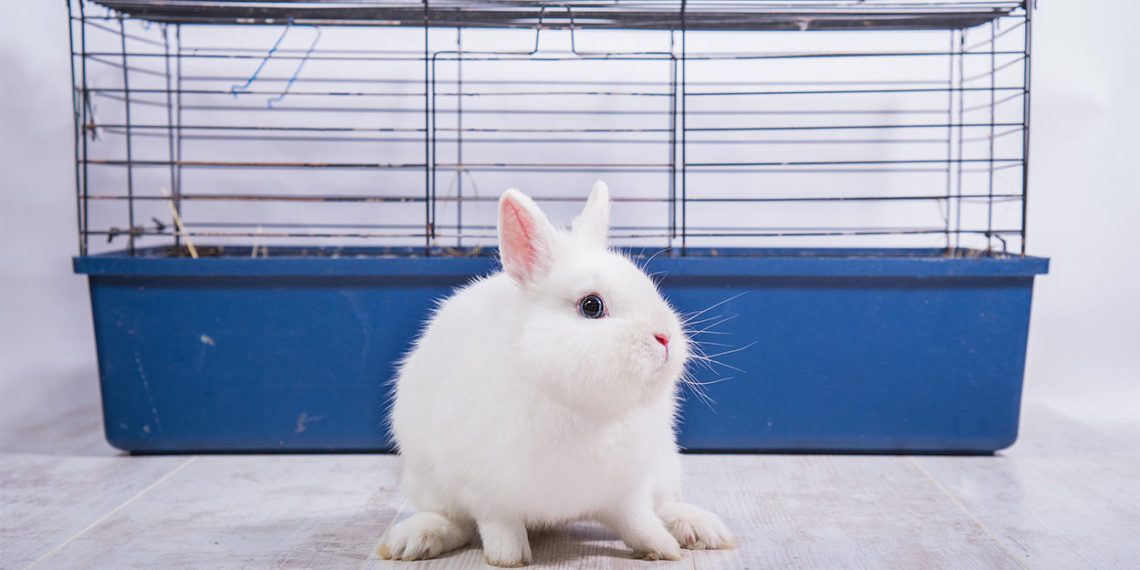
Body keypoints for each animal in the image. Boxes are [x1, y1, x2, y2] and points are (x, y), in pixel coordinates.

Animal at [379, 181, 735, 566]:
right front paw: (509, 558)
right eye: (591, 306)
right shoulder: (488, 491)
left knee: (665, 504)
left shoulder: (626, 489)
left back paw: (700, 529)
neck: (582, 406)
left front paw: (664, 548)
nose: (665, 337)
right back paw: (415, 538)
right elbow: (499, 527)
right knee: (453, 520)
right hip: (427, 482)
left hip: (666, 464)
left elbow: (639, 521)